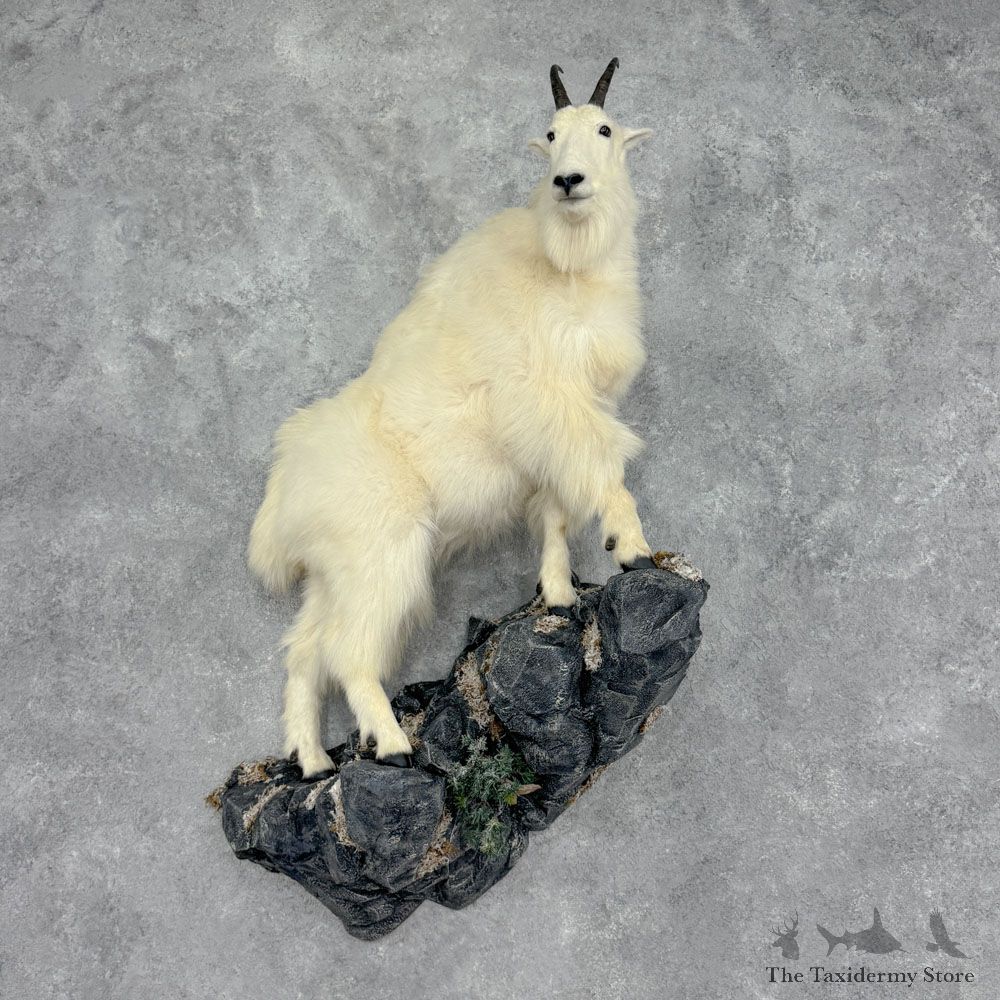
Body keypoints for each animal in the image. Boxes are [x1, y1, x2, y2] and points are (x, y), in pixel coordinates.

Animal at [248, 58, 657, 776]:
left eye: (605, 129)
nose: (569, 181)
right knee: (349, 653)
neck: (567, 266)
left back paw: (314, 759)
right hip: (383, 556)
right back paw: (391, 743)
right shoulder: (554, 404)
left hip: (333, 574)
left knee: (304, 652)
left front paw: (558, 593)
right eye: (551, 134)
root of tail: (282, 500)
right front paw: (632, 547)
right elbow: (602, 472)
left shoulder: (548, 435)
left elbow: (555, 511)